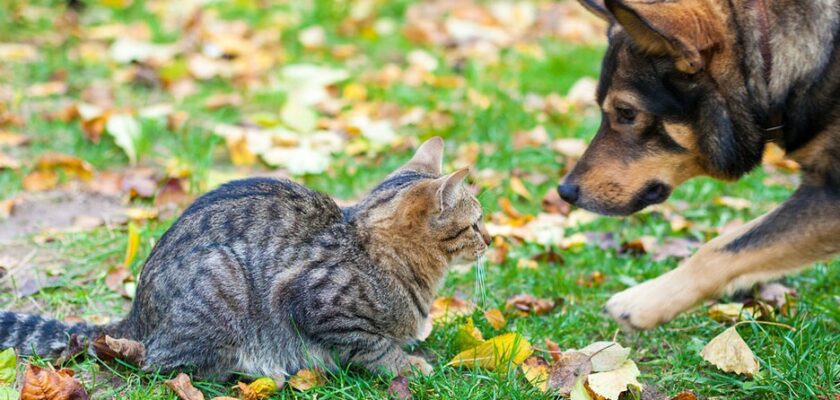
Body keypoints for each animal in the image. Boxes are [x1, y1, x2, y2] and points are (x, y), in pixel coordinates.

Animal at [0, 138, 492, 382]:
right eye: (475, 223)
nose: (491, 238)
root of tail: (136, 314)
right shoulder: (319, 304)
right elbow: (373, 346)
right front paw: (407, 365)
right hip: (220, 283)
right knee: (162, 364)